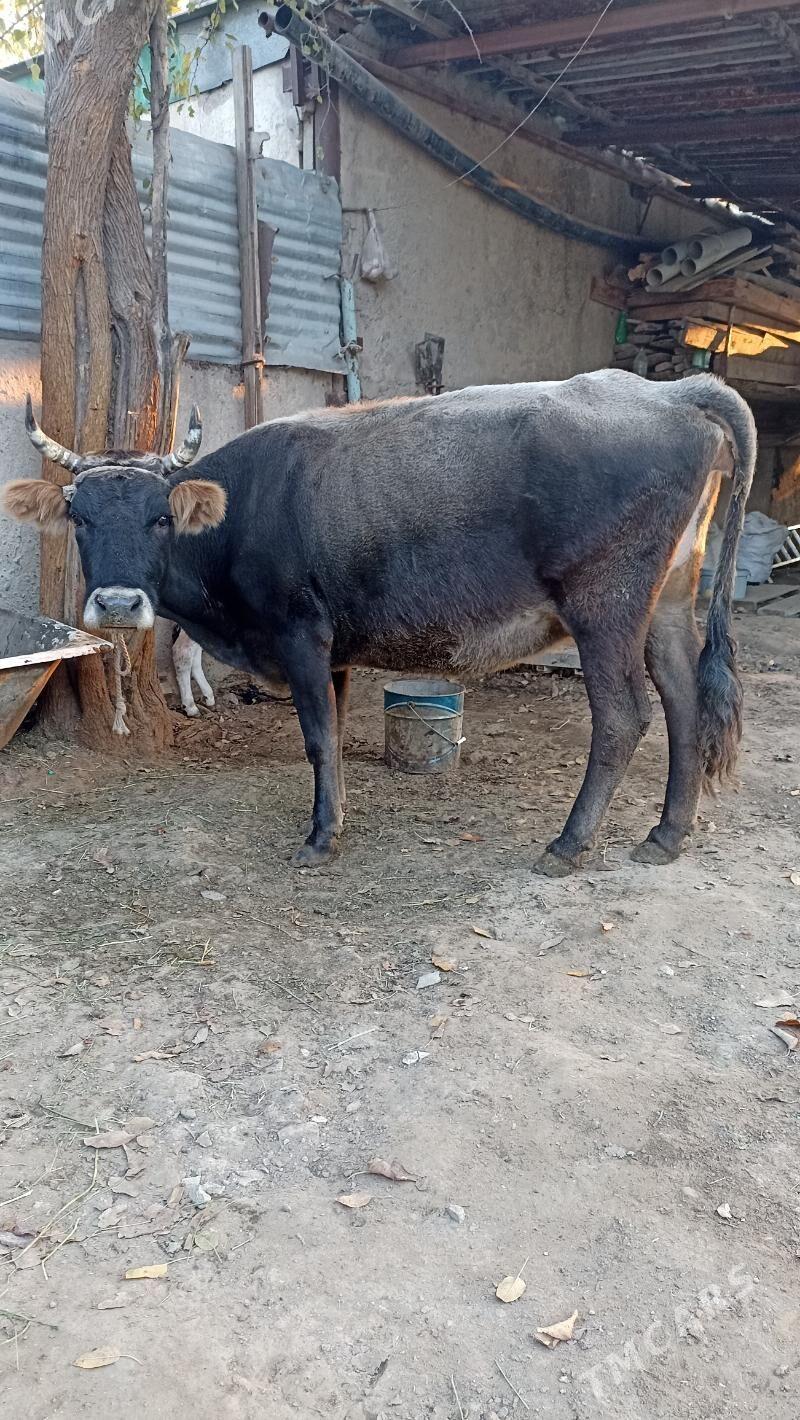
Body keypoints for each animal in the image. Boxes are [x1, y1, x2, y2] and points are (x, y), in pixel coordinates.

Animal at [3, 370, 755, 872]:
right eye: (78, 516)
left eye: (160, 517)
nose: (118, 604)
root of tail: (669, 390)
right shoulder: (332, 650)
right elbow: (334, 737)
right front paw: (333, 821)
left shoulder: (301, 634)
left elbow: (315, 738)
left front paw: (317, 839)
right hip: (668, 603)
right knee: (686, 702)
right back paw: (666, 835)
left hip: (605, 604)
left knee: (625, 715)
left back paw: (569, 844)